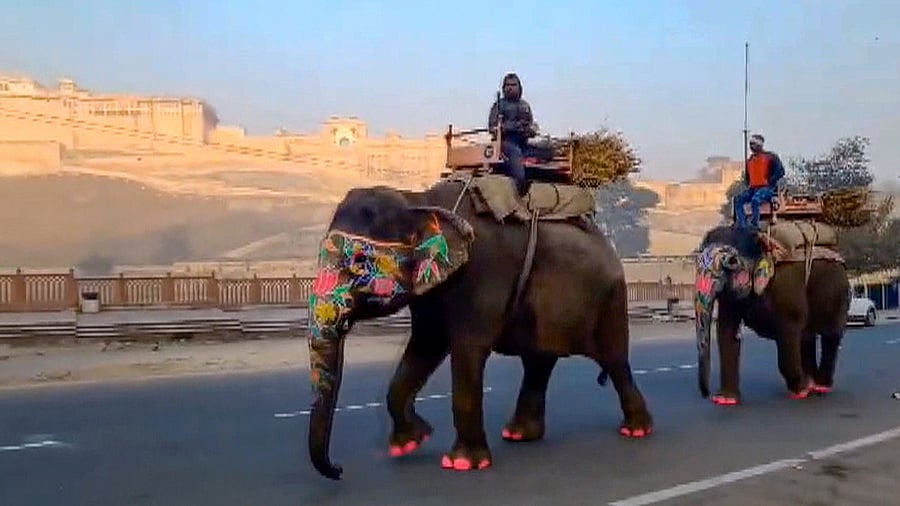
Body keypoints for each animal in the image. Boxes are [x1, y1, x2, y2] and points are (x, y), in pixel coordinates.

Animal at [305, 176, 654, 480]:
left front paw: (461, 464)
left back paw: (636, 430)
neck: (417, 201)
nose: (339, 469)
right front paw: (410, 443)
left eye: (359, 262)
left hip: (610, 299)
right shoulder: (431, 288)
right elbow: (425, 345)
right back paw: (519, 434)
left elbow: (467, 349)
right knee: (539, 362)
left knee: (614, 361)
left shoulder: (481, 275)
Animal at [693, 224, 850, 405]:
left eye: (731, 262)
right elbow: (727, 331)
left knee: (830, 335)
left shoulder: (786, 287)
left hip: (838, 292)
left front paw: (800, 390)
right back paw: (811, 385)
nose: (706, 395)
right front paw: (725, 400)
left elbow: (788, 332)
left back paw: (820, 387)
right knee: (807, 337)